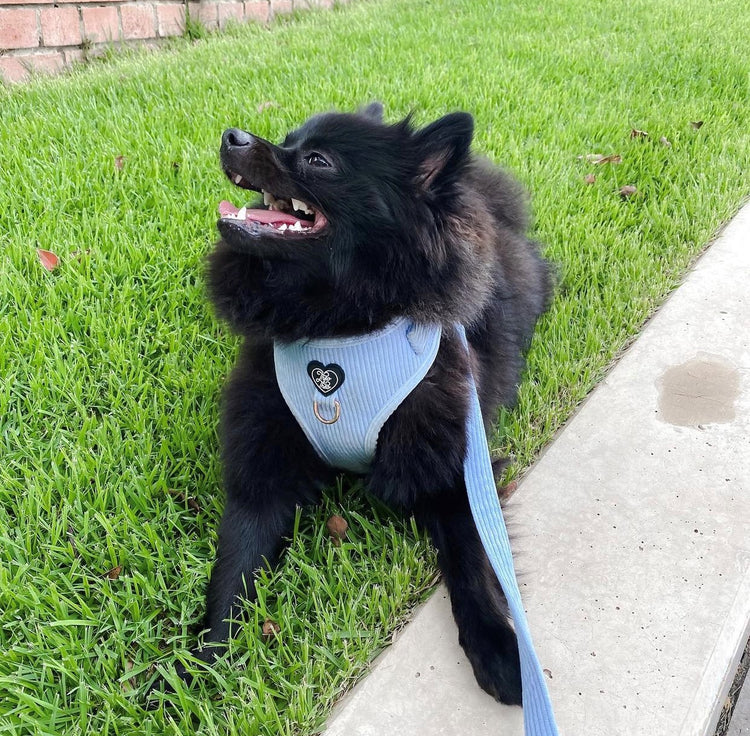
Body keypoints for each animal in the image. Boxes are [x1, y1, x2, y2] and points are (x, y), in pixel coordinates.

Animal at [191, 100, 552, 704]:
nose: (231, 135)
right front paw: (201, 669)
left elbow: (473, 561)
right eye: (287, 138)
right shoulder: (262, 473)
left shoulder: (456, 468)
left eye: (317, 160)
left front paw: (500, 648)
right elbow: (233, 571)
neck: (339, 329)